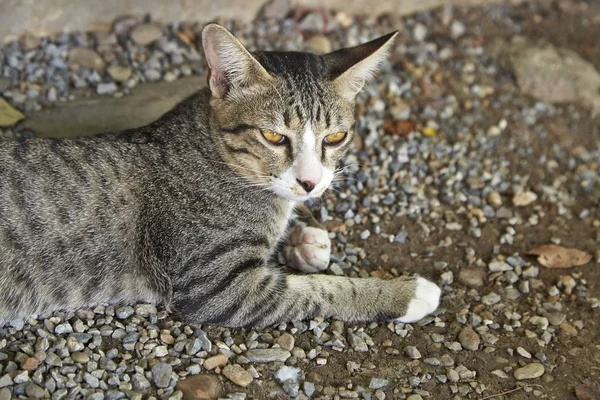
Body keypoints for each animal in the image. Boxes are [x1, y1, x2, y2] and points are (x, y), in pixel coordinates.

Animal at [0, 23, 440, 328]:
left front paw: (304, 237)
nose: (310, 182)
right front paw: (405, 293)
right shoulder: (213, 285)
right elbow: (318, 290)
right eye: (273, 136)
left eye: (335, 137)